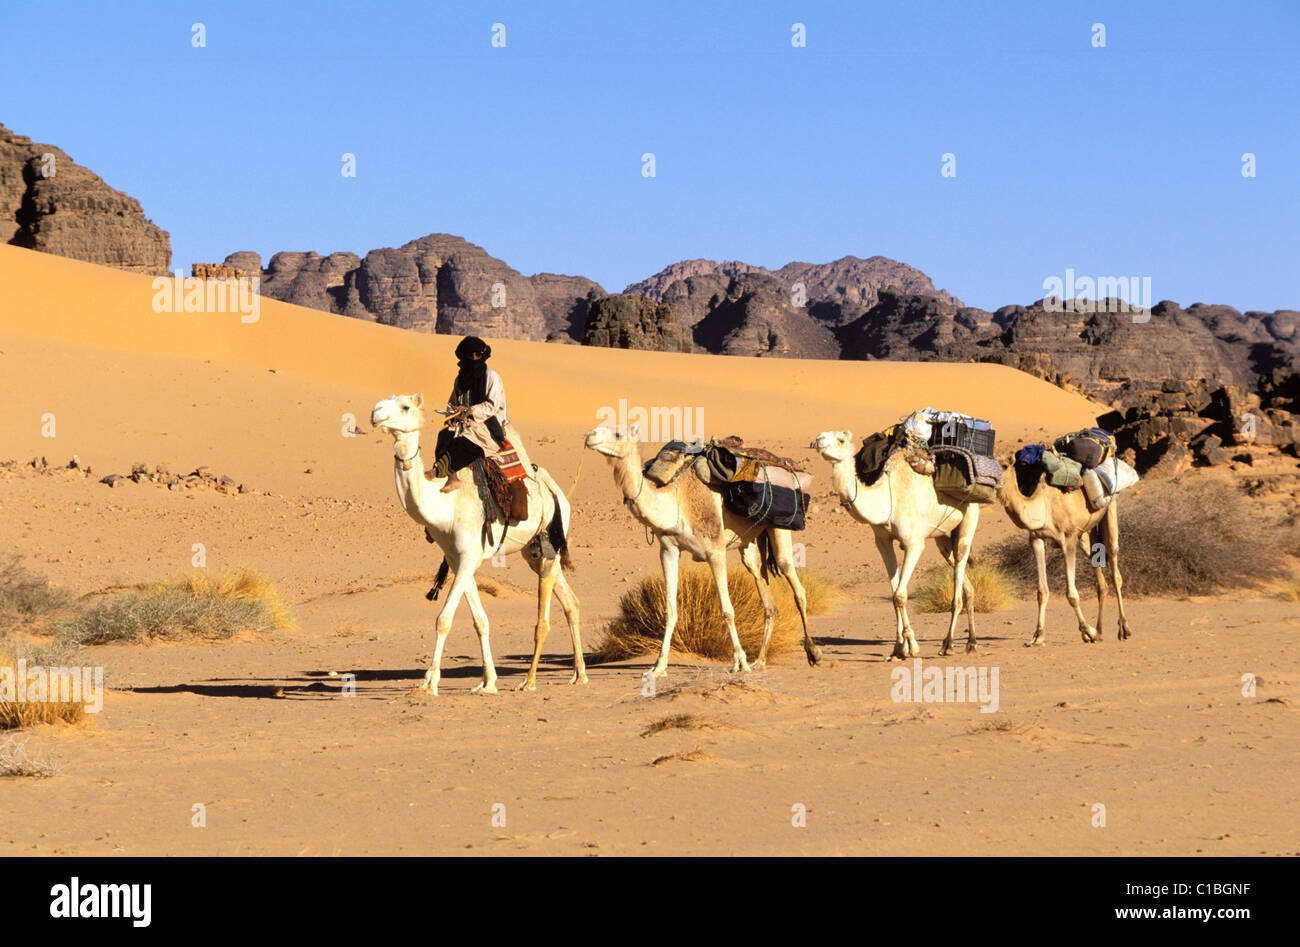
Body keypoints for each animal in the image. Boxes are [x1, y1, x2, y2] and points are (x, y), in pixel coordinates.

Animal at [370, 394, 586, 694]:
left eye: (405, 407)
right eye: (385, 402)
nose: (375, 413)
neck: (444, 503)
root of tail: (557, 492)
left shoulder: (469, 555)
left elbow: (443, 620)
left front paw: (430, 682)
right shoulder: (456, 558)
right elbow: (480, 621)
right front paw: (488, 682)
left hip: (547, 545)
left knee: (544, 618)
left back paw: (530, 680)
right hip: (534, 551)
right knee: (571, 602)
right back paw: (579, 674)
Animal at [583, 426, 822, 677]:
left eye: (618, 434)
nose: (590, 436)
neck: (678, 501)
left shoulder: (715, 550)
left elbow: (727, 610)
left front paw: (740, 662)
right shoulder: (668, 549)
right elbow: (670, 609)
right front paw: (658, 667)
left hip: (779, 528)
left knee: (794, 582)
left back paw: (813, 653)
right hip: (751, 542)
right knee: (767, 597)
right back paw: (761, 660)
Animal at [811, 431, 980, 659]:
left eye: (841, 440)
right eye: (823, 434)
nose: (818, 440)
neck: (887, 500)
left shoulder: (914, 543)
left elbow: (900, 595)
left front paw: (912, 645)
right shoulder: (883, 541)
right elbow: (893, 595)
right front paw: (898, 647)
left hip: (969, 516)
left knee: (961, 561)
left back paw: (948, 644)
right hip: (942, 536)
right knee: (962, 577)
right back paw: (971, 642)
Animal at [997, 467, 1132, 646]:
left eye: (1004, 465)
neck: (1044, 505)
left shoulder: (1068, 538)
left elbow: (1071, 594)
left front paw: (1087, 631)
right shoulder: (1036, 538)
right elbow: (1042, 591)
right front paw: (1038, 636)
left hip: (1109, 509)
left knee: (1114, 564)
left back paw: (1123, 628)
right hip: (1085, 533)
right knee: (1098, 573)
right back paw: (1100, 630)